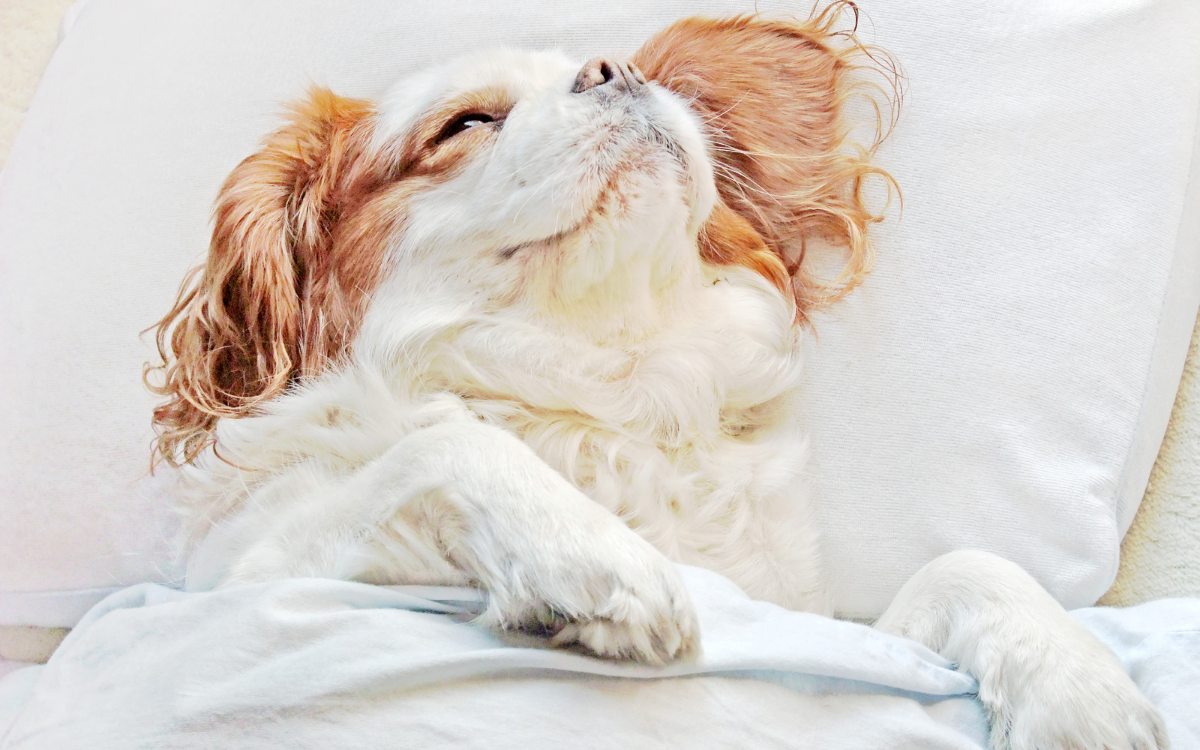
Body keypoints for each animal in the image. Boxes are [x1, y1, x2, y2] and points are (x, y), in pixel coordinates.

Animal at [150, 7, 1171, 748]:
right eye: (467, 122)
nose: (615, 69)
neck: (608, 378)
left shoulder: (816, 624)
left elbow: (966, 566)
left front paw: (1076, 686)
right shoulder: (243, 587)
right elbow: (440, 447)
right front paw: (594, 556)